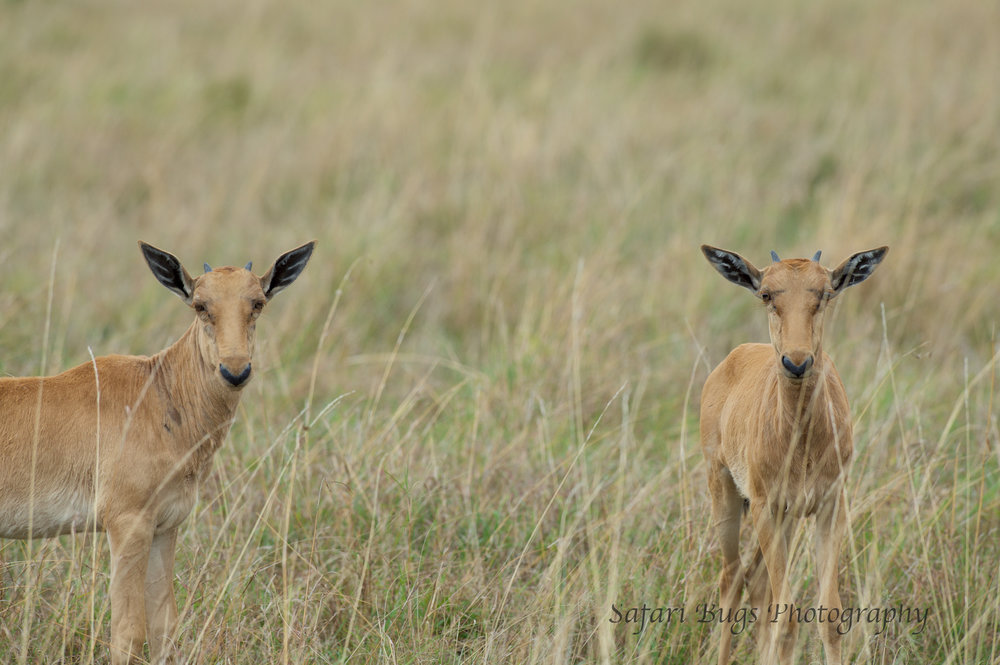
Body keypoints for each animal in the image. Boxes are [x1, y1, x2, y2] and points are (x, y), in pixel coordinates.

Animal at [0, 241, 314, 660]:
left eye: (258, 302)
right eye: (200, 305)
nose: (235, 371)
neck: (156, 389)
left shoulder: (165, 527)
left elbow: (165, 627)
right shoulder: (126, 524)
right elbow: (128, 633)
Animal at [700, 245, 888, 664]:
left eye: (826, 293)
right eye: (767, 294)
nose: (796, 362)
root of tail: (734, 358)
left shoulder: (830, 506)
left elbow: (830, 616)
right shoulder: (765, 506)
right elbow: (787, 619)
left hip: (786, 517)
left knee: (757, 585)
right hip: (726, 491)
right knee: (731, 579)